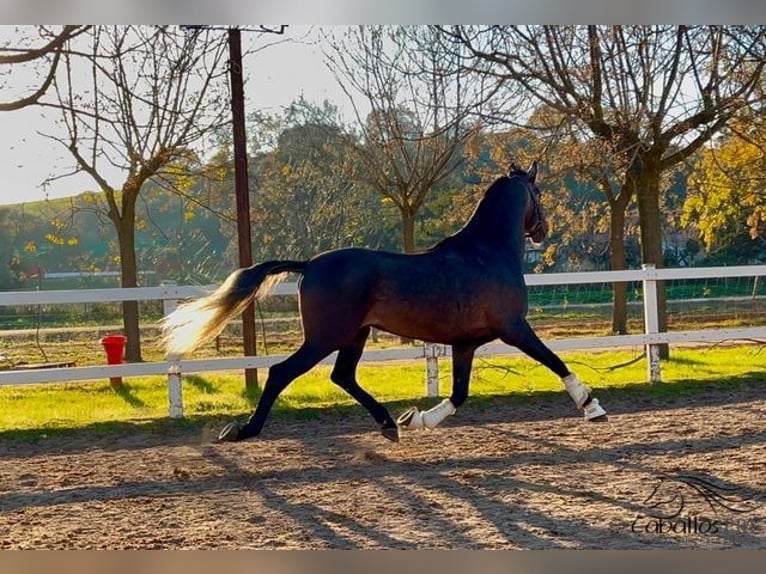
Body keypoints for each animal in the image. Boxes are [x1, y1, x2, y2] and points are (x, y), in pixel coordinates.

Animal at [165, 163, 608, 446]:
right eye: (539, 193)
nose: (543, 229)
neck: (488, 252)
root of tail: (310, 264)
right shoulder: (513, 328)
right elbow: (554, 360)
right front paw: (591, 405)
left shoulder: (465, 343)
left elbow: (459, 393)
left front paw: (417, 420)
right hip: (326, 337)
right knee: (281, 373)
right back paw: (244, 430)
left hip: (355, 335)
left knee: (342, 376)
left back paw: (389, 424)